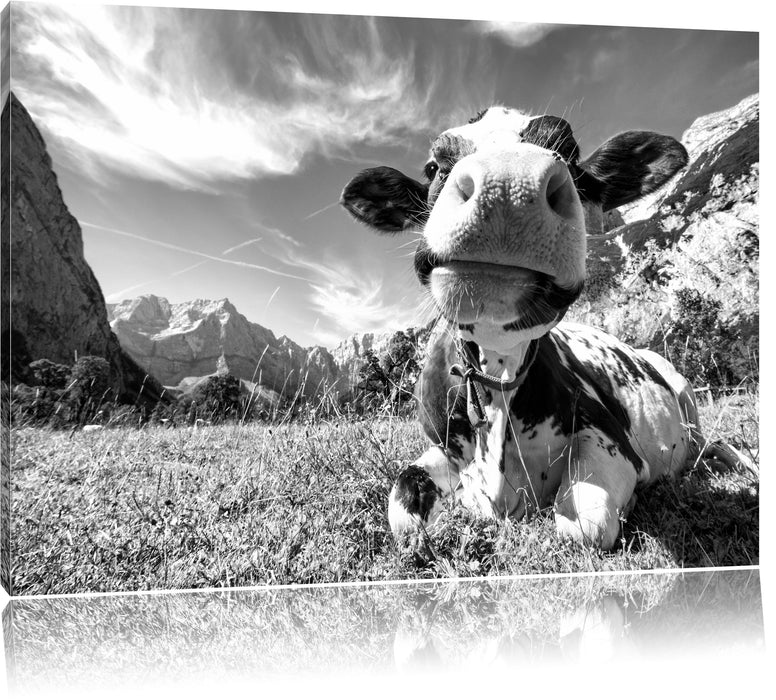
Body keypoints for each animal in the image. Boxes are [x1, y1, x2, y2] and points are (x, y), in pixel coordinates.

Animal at [340, 106, 745, 550]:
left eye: (569, 153)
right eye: (434, 167)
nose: (507, 185)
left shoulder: (612, 439)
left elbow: (584, 525)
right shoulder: (442, 448)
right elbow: (404, 508)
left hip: (685, 391)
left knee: (709, 442)